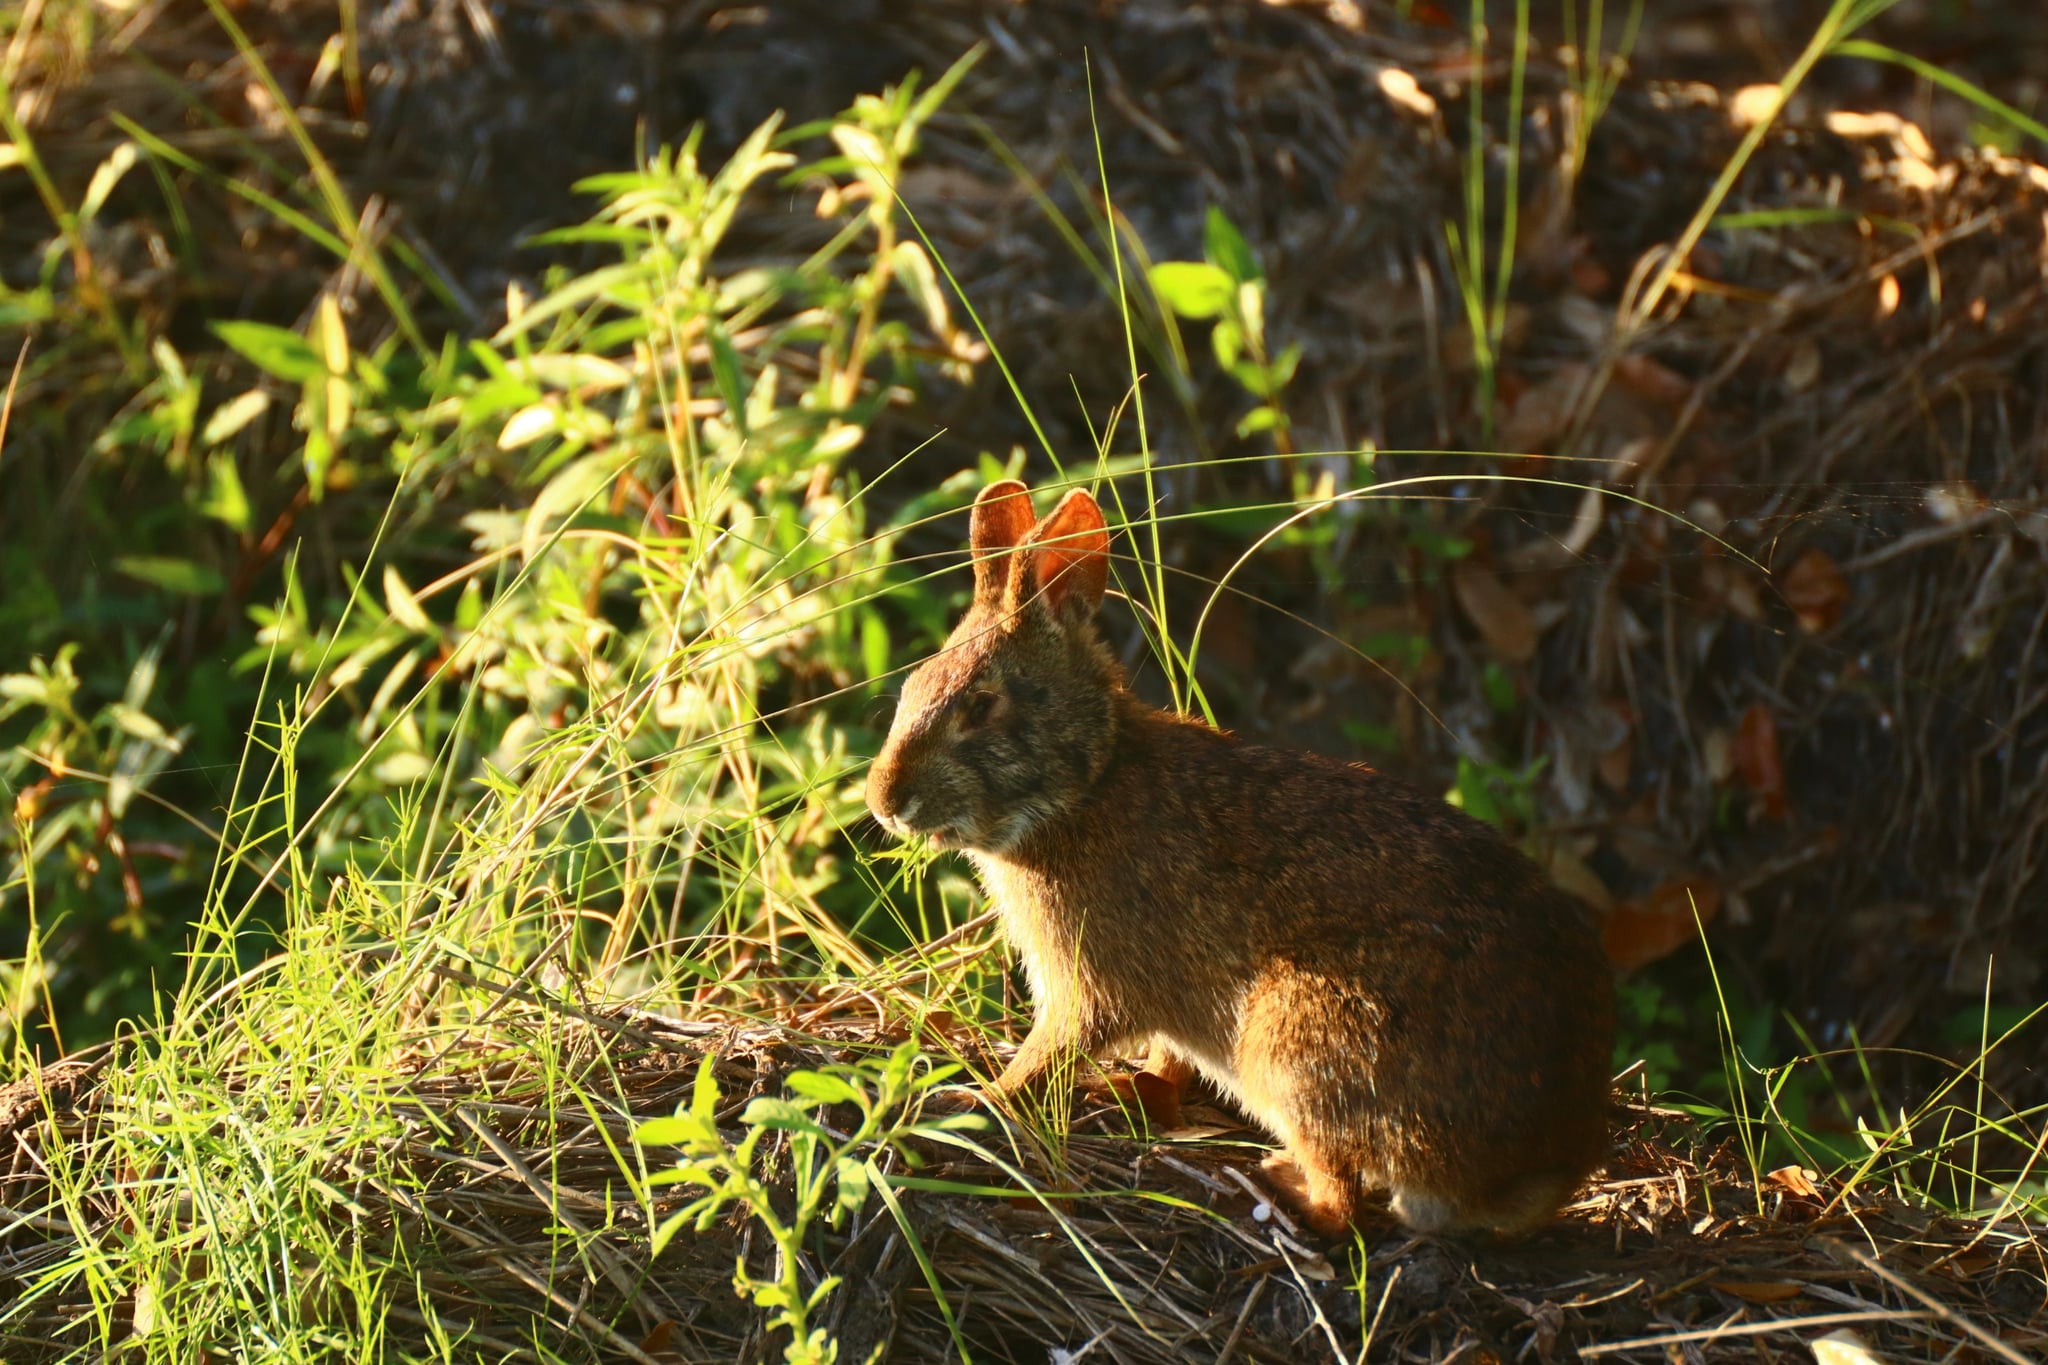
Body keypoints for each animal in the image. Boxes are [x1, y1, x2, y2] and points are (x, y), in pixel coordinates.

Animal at [865, 479, 1615, 1237]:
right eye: (914, 684)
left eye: (981, 705)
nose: (884, 799)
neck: (1089, 783)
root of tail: (1523, 1176)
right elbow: (1162, 1056)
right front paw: (1133, 1090)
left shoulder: (1092, 981)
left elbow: (1049, 1053)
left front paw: (973, 1101)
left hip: (1297, 1043)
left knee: (1342, 1204)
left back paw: (1260, 1186)